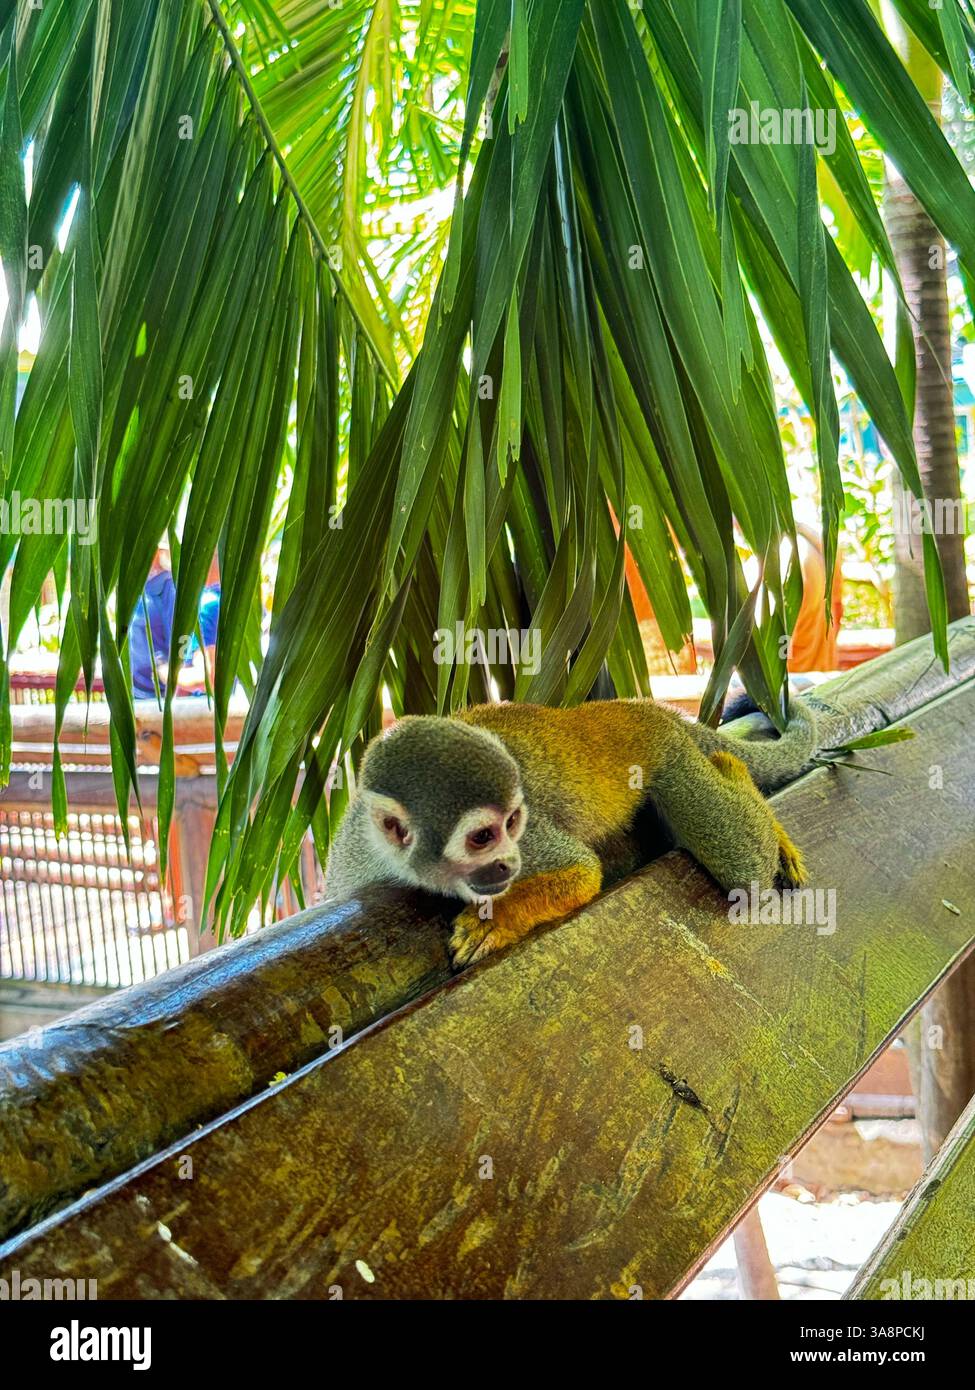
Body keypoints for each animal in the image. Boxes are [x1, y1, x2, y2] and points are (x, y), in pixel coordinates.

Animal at [324, 699, 816, 969]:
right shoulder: (349, 860)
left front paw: (497, 920)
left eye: (513, 822)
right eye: (482, 836)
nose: (510, 863)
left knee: (743, 868)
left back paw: (735, 774)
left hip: (669, 755)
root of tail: (638, 707)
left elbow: (581, 873)